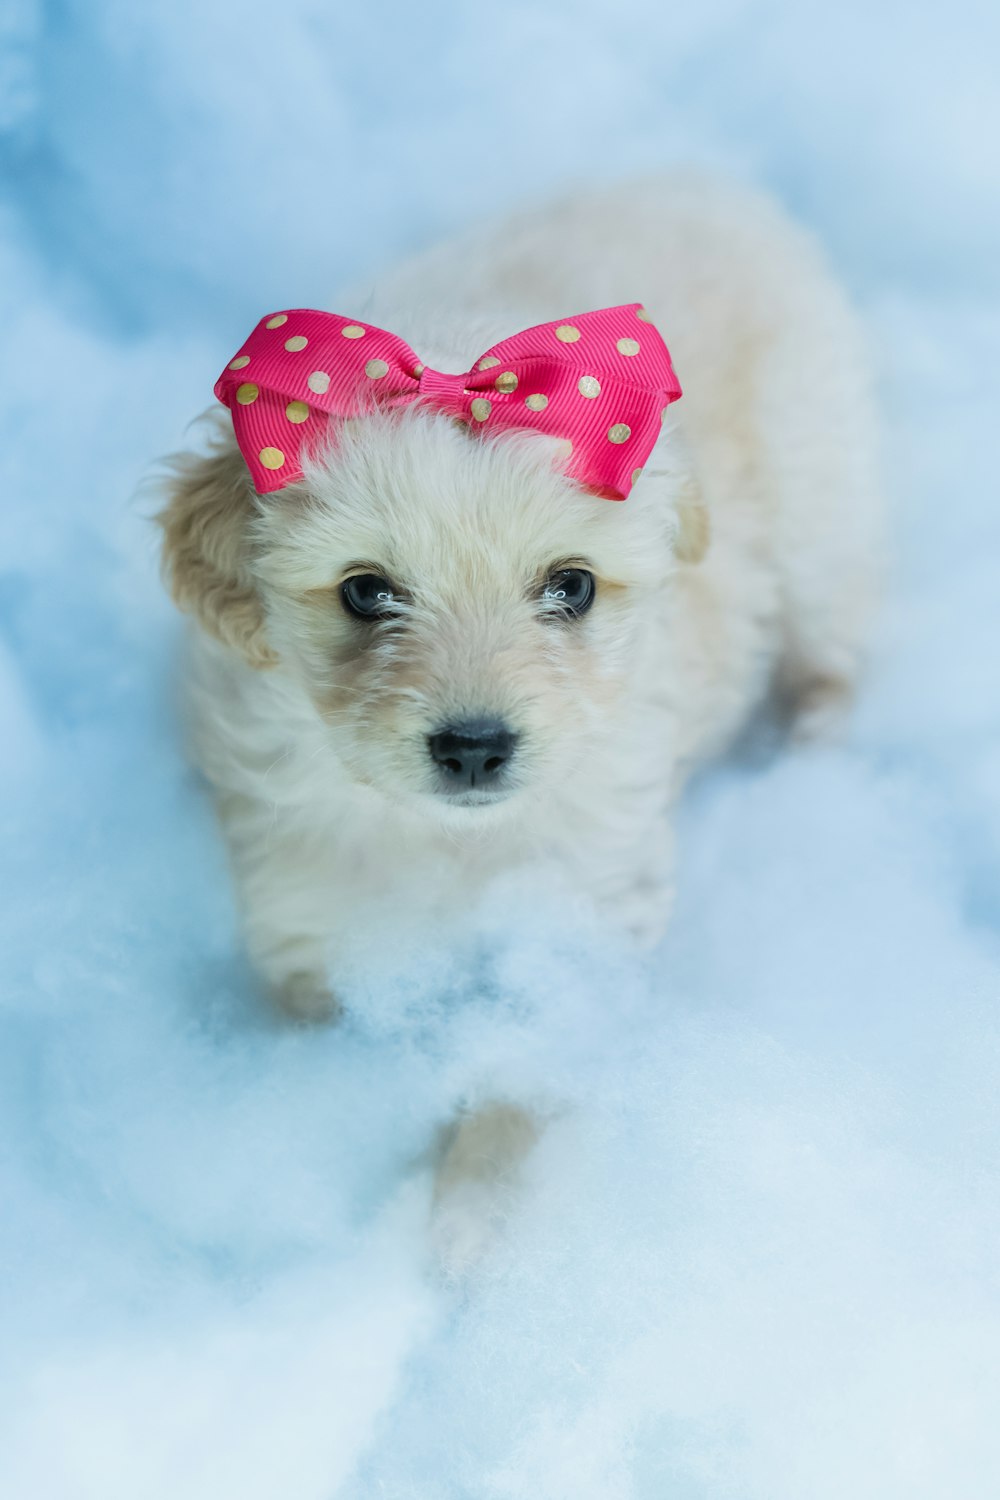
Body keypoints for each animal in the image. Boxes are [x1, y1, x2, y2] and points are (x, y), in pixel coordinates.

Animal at [156, 172, 881, 1254]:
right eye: (365, 592)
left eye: (570, 587)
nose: (474, 749)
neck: (452, 842)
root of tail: (707, 185)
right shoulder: (307, 898)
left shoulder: (579, 914)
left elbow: (518, 1078)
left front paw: (470, 1228)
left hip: (819, 499)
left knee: (835, 640)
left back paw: (809, 745)